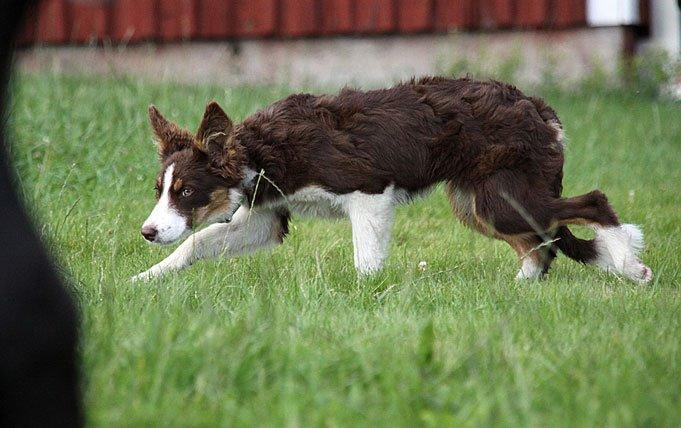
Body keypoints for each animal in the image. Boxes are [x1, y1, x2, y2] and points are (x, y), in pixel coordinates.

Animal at [129, 77, 652, 284]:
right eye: (160, 191)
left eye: (187, 192)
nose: (147, 232)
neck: (264, 153)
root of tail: (539, 108)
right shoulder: (265, 218)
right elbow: (196, 243)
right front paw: (143, 280)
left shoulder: (369, 193)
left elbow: (366, 259)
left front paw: (364, 296)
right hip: (477, 202)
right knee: (540, 245)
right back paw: (516, 289)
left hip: (504, 197)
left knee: (592, 203)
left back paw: (631, 265)